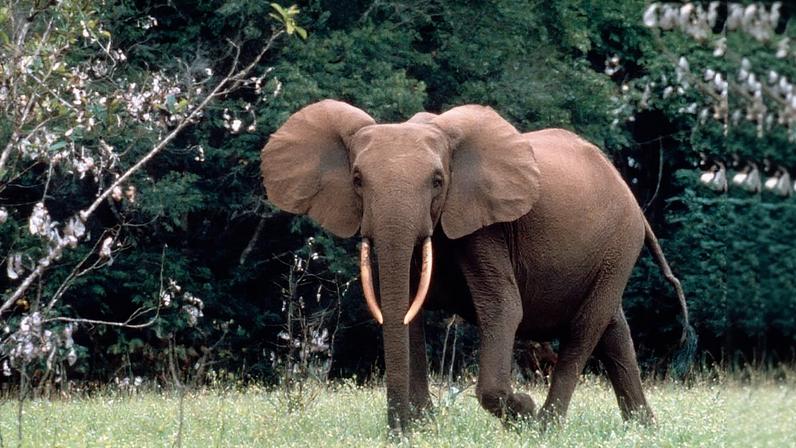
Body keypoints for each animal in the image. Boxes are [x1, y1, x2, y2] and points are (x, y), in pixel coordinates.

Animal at [260, 99, 688, 433]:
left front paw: (522, 409)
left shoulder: (486, 227)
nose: (396, 430)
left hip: (620, 244)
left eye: (437, 181)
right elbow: (405, 309)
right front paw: (423, 427)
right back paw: (644, 429)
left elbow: (503, 308)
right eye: (357, 180)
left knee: (585, 329)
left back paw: (545, 427)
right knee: (614, 331)